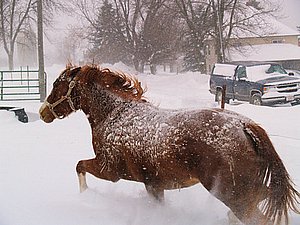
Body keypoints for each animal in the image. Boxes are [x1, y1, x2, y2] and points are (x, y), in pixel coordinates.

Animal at [38, 64, 298, 224]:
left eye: (57, 85)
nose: (43, 112)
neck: (114, 114)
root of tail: (245, 125)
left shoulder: (109, 170)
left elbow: (79, 166)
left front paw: (84, 197)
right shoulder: (154, 185)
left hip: (233, 194)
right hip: (244, 191)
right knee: (262, 197)